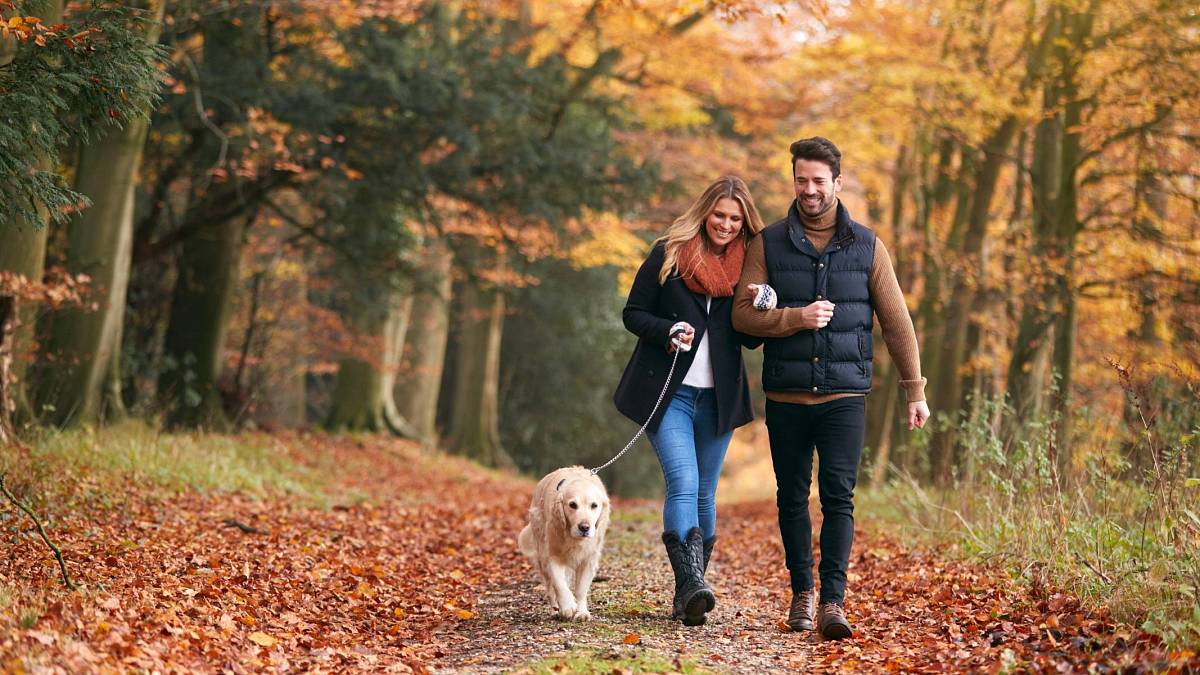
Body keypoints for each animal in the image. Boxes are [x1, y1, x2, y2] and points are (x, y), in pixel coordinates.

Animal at [516, 466, 609, 619]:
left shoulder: (588, 560)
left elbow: (580, 590)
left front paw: (581, 612)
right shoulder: (553, 555)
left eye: (594, 505)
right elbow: (559, 584)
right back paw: (555, 607)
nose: (584, 527)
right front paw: (567, 606)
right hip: (541, 553)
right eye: (572, 505)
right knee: (550, 586)